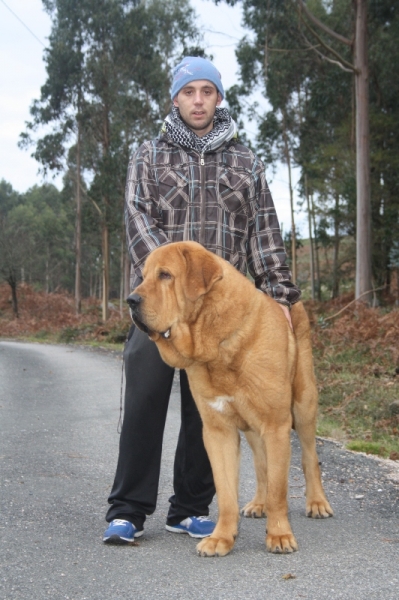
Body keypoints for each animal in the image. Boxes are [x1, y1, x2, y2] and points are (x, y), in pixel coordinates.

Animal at [127, 240, 332, 556]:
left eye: (165, 275)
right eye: (143, 276)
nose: (131, 300)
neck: (217, 339)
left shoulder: (276, 425)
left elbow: (279, 489)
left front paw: (279, 535)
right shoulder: (218, 430)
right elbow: (226, 492)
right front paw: (221, 537)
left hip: (303, 406)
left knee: (310, 458)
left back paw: (317, 502)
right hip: (253, 428)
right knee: (261, 466)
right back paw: (258, 504)